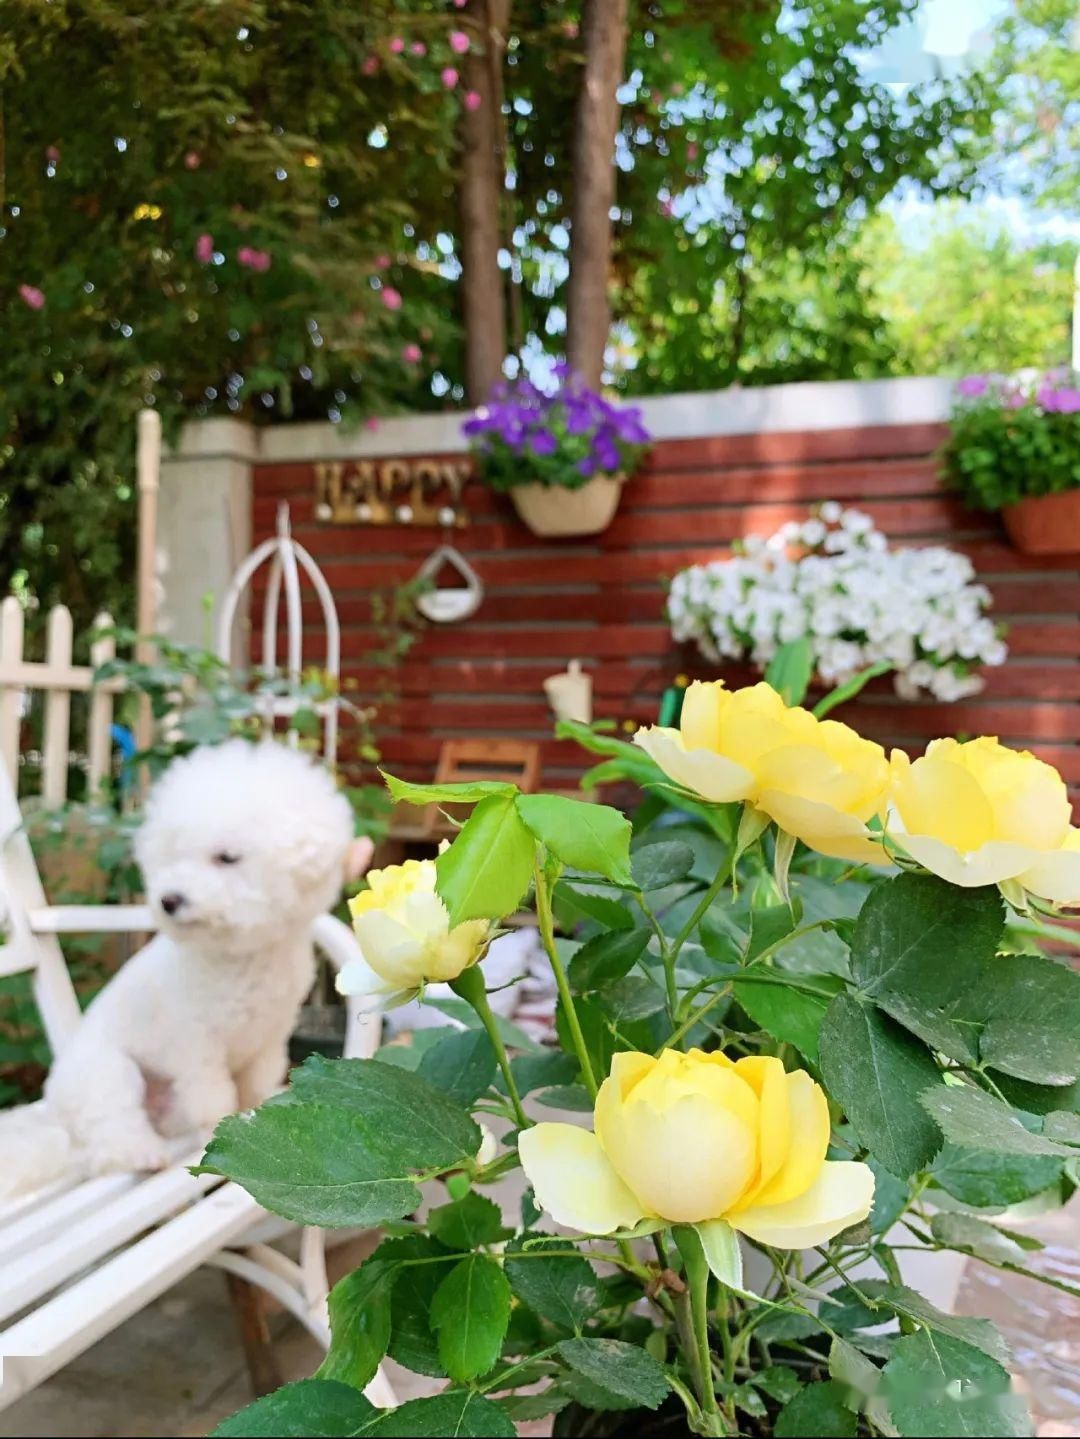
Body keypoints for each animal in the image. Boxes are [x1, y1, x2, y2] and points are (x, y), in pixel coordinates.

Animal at [5, 742, 359, 1191]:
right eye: (171, 857)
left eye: (226, 858)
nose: (169, 899)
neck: (243, 957)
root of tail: (55, 1122)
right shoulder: (196, 1046)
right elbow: (214, 1096)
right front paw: (225, 1131)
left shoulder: (269, 1040)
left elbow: (256, 1085)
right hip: (108, 1073)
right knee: (107, 1137)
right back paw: (142, 1153)